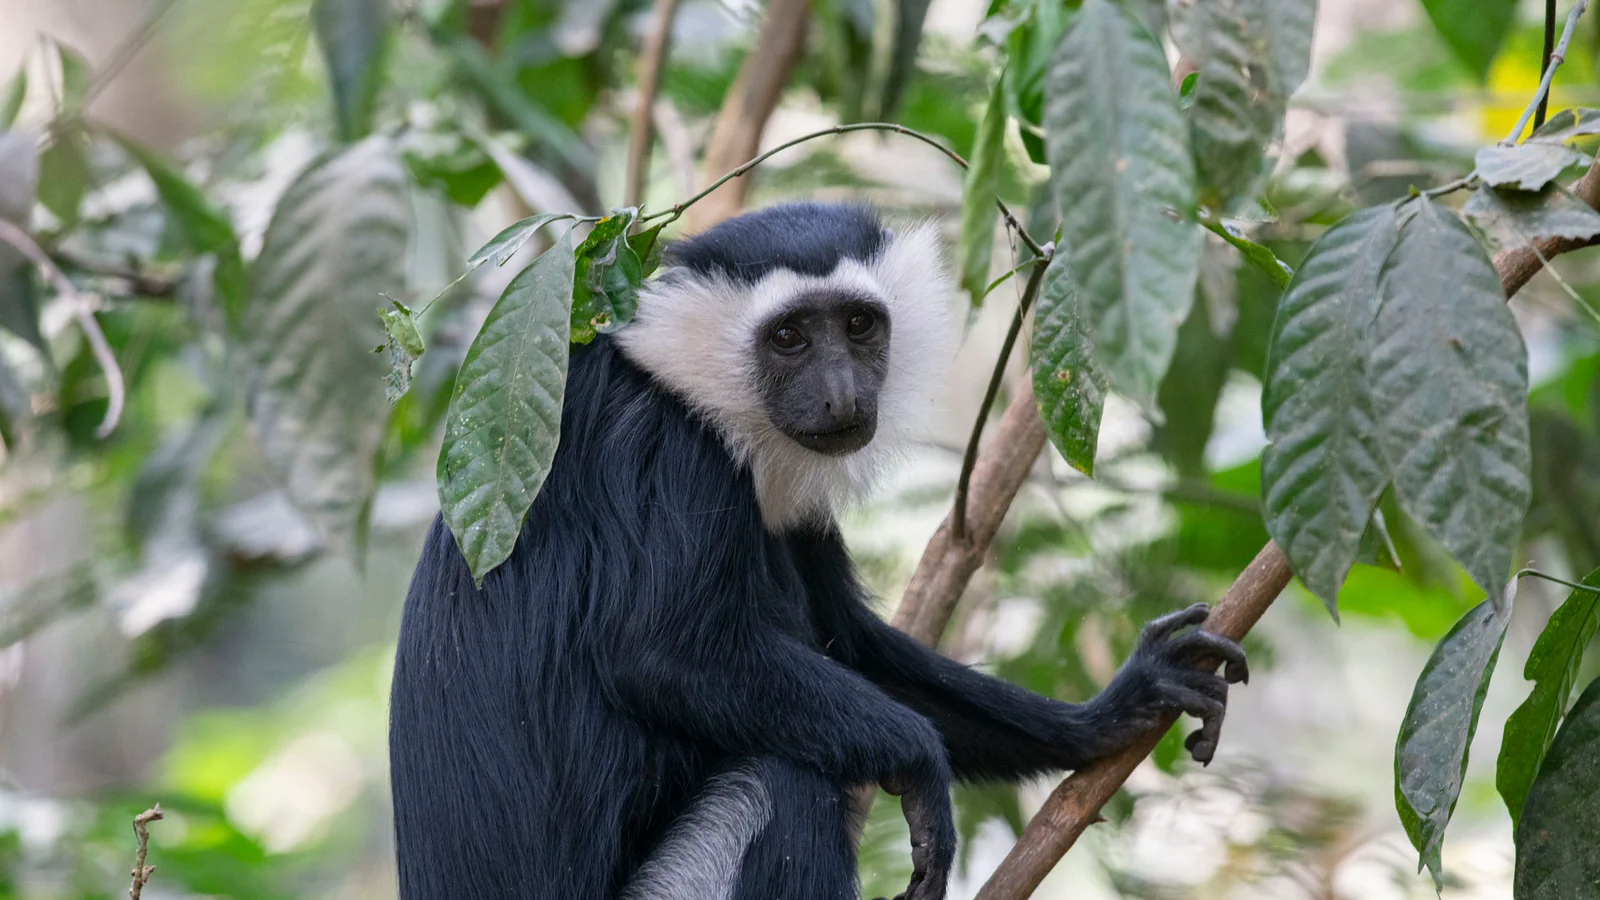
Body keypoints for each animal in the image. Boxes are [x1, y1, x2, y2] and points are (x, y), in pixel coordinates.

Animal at [388, 202, 1247, 900]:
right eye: (789, 338)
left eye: (859, 326)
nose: (840, 396)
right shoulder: (670, 449)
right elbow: (656, 651)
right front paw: (920, 766)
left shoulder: (795, 515)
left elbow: (853, 648)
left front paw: (1114, 711)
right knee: (783, 776)